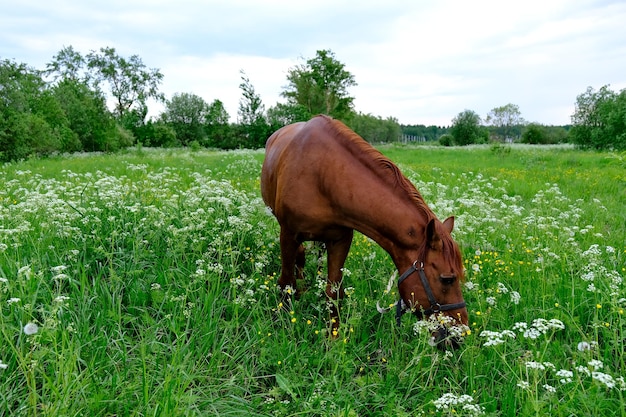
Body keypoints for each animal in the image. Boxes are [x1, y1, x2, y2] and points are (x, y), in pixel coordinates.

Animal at [260, 114, 468, 348]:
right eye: (447, 279)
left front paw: (333, 339)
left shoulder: (340, 239)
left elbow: (334, 292)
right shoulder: (288, 234)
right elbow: (286, 283)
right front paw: (283, 323)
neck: (323, 176)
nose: (459, 336)